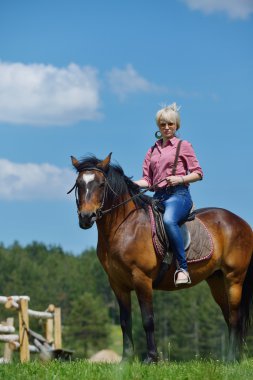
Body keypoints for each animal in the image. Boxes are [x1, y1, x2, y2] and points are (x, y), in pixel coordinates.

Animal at [68, 152, 253, 362]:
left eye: (100, 184)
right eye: (79, 184)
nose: (86, 217)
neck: (124, 227)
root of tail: (241, 222)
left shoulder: (142, 279)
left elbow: (148, 320)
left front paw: (151, 358)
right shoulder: (117, 283)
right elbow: (125, 321)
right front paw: (126, 359)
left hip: (234, 278)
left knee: (236, 317)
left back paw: (231, 358)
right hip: (217, 280)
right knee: (229, 316)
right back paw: (235, 358)